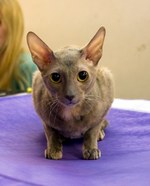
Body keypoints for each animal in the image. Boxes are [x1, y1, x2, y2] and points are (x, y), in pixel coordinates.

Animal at [26, 26, 113, 160]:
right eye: (55, 77)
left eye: (83, 75)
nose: (70, 95)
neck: (71, 113)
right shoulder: (42, 114)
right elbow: (50, 132)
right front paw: (53, 149)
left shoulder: (101, 110)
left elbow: (92, 131)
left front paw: (91, 149)